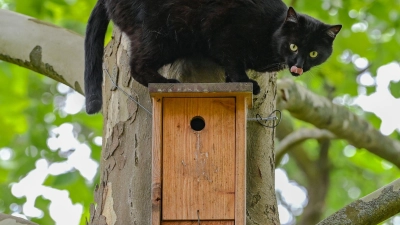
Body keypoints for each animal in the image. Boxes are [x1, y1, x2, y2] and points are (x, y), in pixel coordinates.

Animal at [84, 0, 340, 113]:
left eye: (314, 53)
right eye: (294, 46)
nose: (299, 64)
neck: (271, 28)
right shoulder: (226, 33)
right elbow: (234, 62)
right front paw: (246, 82)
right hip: (162, 36)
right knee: (137, 66)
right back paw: (167, 82)